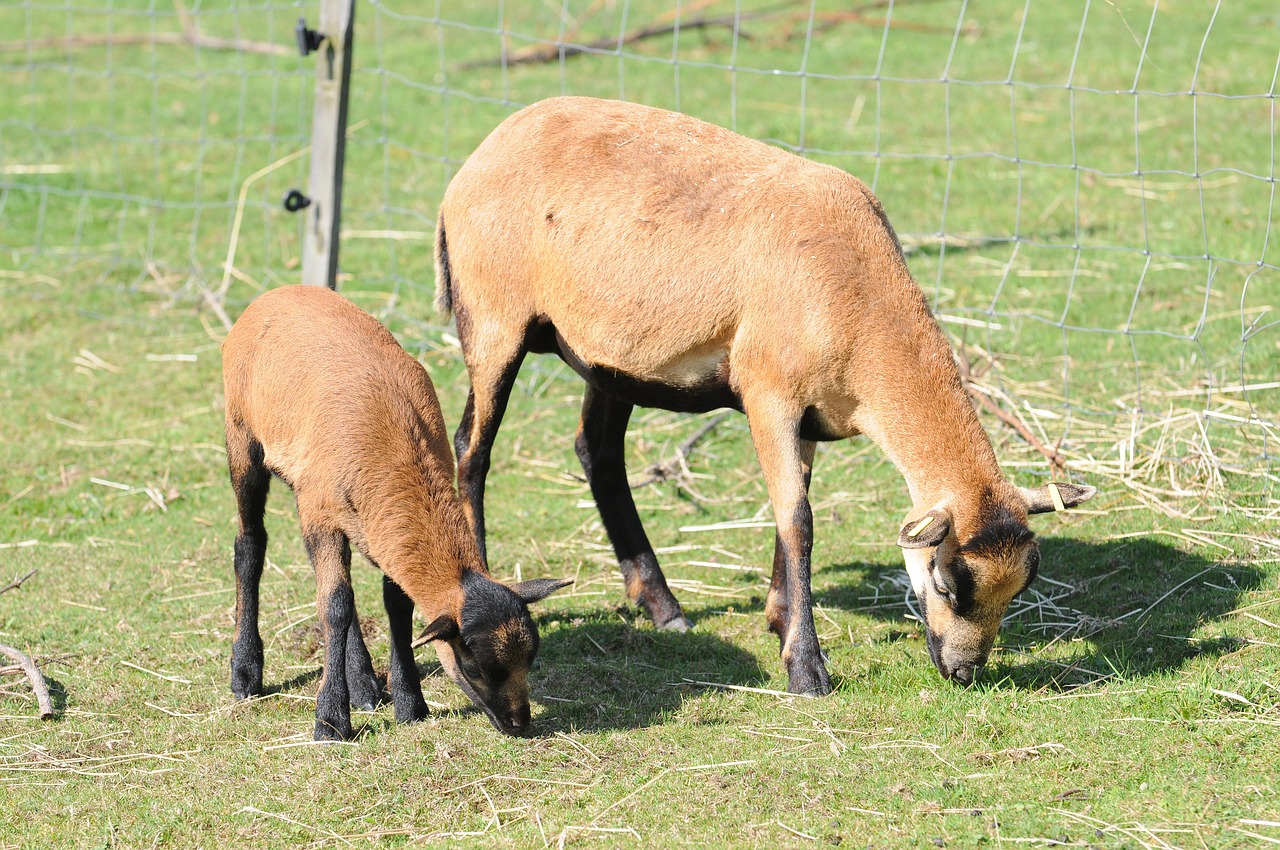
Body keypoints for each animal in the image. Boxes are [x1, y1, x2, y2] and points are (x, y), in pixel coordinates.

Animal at [221, 285, 570, 737]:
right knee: (250, 546)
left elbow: (394, 604)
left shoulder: (385, 525)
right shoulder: (319, 513)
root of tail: (279, 292)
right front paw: (331, 720)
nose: (519, 723)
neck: (400, 446)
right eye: (474, 666)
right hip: (242, 438)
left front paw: (409, 703)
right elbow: (334, 605)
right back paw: (246, 672)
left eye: (531, 659)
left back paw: (365, 684)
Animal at [430, 96, 1090, 696]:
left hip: (609, 357)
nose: (963, 672)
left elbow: (789, 511)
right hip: (493, 321)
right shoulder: (768, 393)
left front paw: (779, 621)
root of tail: (485, 150)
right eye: (949, 584)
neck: (859, 299)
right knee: (472, 450)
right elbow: (798, 520)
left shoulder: (811, 415)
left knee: (597, 451)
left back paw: (665, 609)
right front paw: (806, 669)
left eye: (1023, 586)